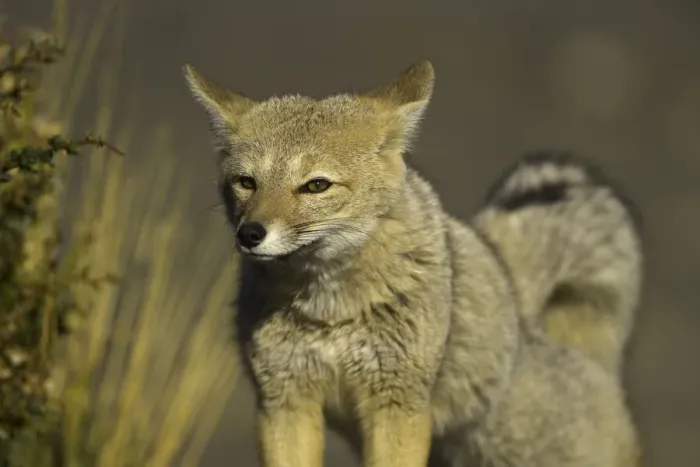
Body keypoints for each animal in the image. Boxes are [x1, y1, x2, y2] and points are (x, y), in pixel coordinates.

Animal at [183, 60, 643, 467]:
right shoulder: (282, 402)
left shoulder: (397, 406)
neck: (328, 310)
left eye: (316, 186)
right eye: (247, 182)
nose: (250, 234)